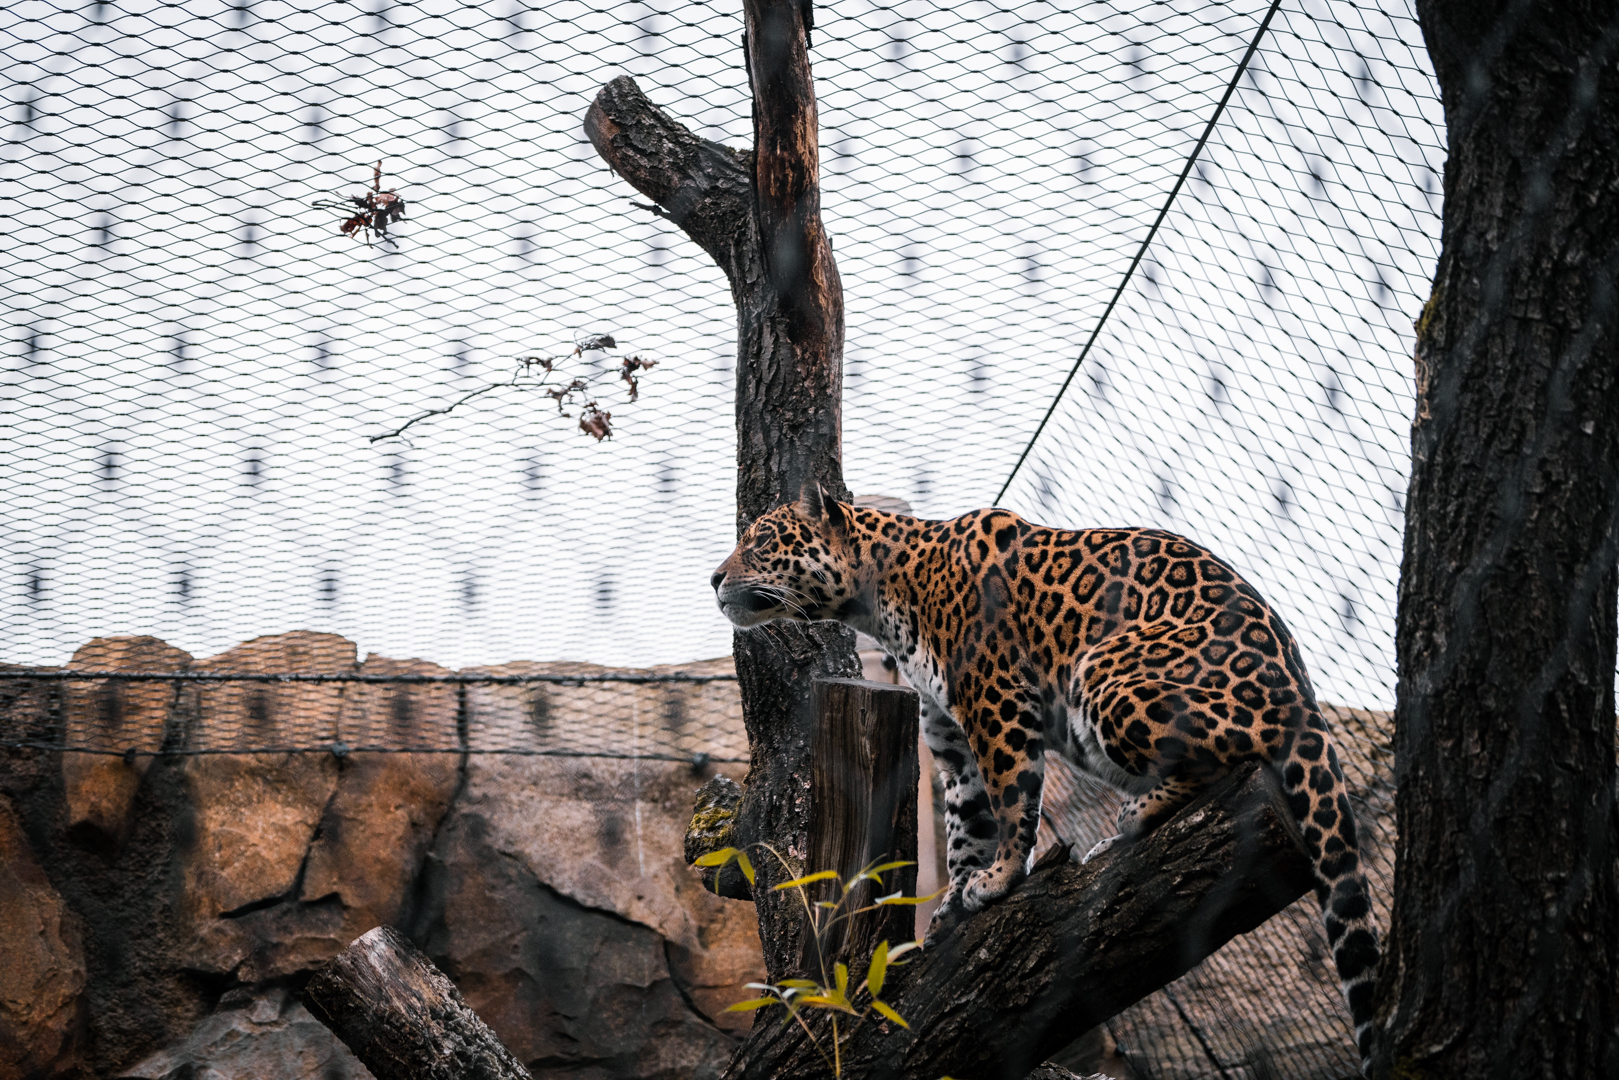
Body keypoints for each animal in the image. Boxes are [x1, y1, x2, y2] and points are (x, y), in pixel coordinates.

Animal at [711, 487, 1380, 1070]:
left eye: (762, 539)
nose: (715, 579)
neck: (883, 597)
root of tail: (1304, 698)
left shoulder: (998, 703)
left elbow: (1013, 803)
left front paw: (1004, 877)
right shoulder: (955, 744)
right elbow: (966, 829)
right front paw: (955, 903)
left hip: (1105, 673)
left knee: (1229, 756)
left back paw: (1132, 818)